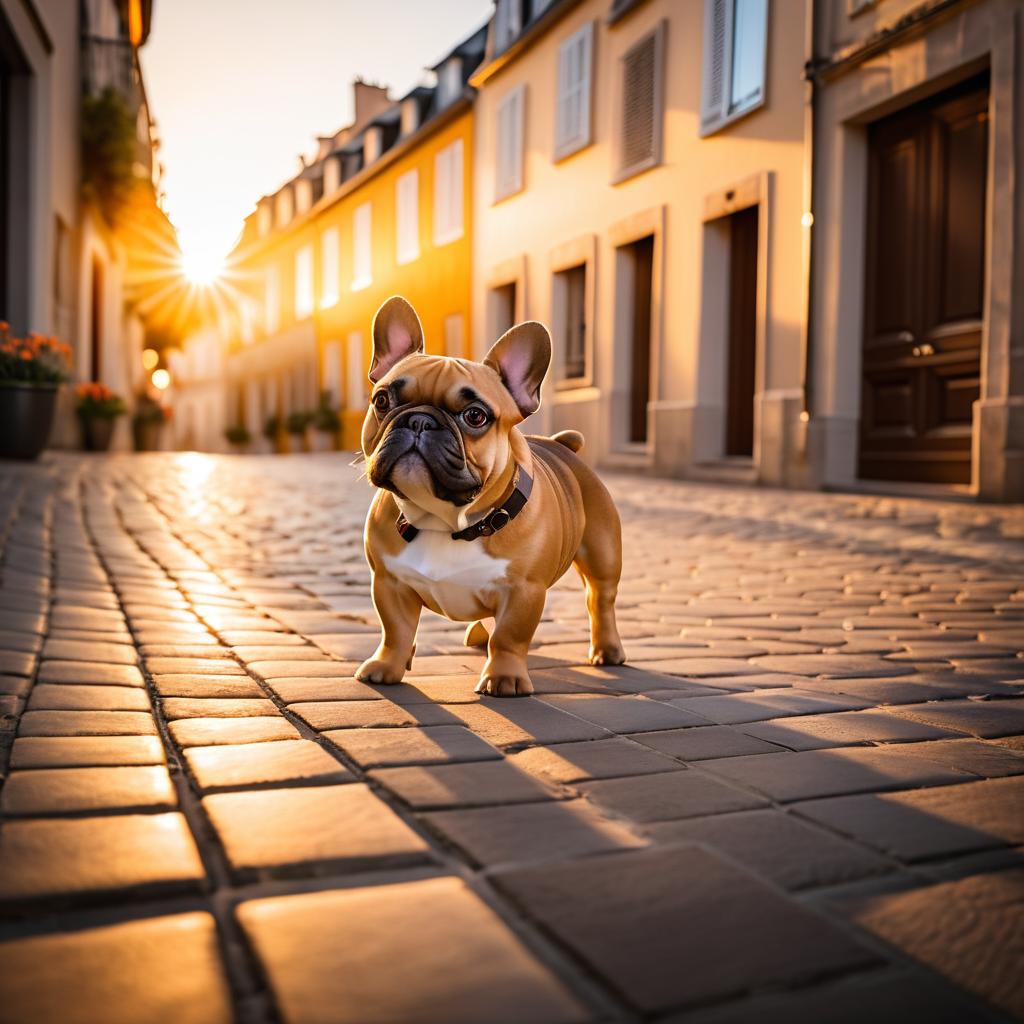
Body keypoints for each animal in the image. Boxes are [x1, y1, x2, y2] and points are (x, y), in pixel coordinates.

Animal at [356, 296, 618, 696]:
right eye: (383, 400)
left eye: (475, 416)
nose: (419, 420)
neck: (445, 521)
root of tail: (562, 444)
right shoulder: (389, 582)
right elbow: (395, 631)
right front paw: (387, 666)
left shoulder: (524, 590)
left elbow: (509, 637)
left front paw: (504, 677)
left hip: (602, 554)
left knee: (599, 599)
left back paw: (607, 650)